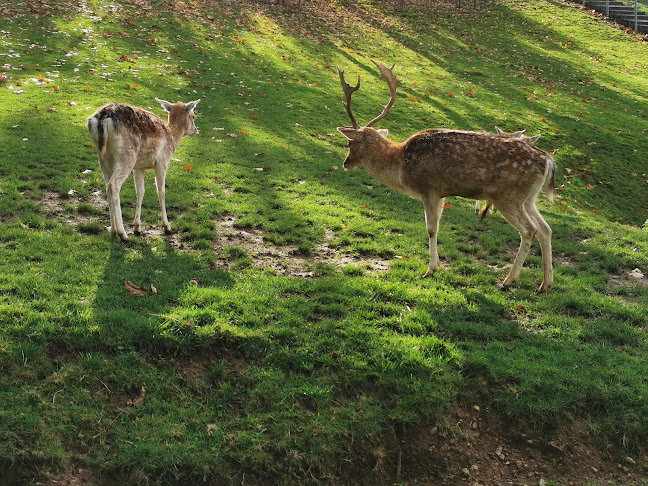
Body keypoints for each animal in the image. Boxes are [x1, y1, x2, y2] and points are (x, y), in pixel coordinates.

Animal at [336, 59, 556, 290]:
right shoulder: (441, 194)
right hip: (529, 198)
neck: (400, 165)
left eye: (349, 143)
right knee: (545, 229)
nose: (345, 162)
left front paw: (430, 270)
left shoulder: (428, 188)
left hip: (507, 196)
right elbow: (437, 227)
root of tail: (548, 161)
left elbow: (431, 228)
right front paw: (436, 266)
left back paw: (508, 280)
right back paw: (545, 284)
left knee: (529, 230)